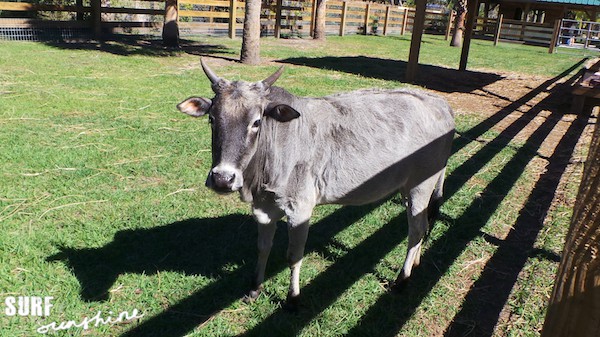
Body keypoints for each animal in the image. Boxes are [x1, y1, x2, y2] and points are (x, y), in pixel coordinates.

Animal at [178, 59, 454, 306]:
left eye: (256, 122)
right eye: (212, 119)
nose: (222, 179)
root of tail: (441, 105)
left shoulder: (300, 208)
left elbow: (294, 255)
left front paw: (293, 299)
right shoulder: (264, 209)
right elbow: (263, 248)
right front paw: (254, 289)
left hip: (421, 185)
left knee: (416, 229)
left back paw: (402, 280)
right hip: (408, 188)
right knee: (422, 225)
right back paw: (415, 263)